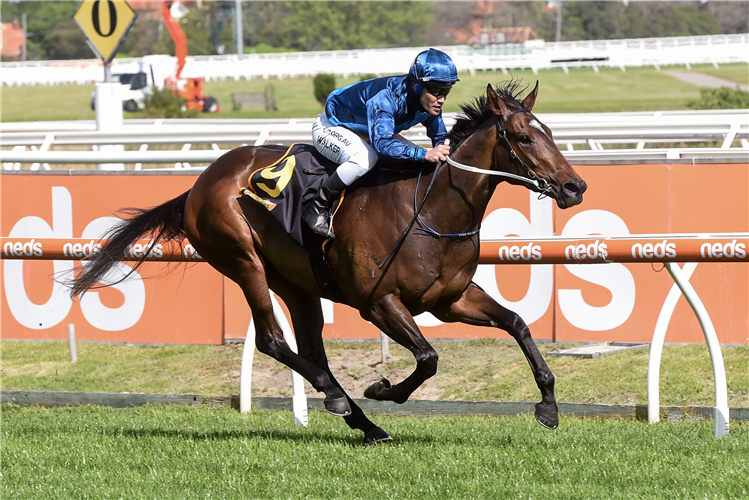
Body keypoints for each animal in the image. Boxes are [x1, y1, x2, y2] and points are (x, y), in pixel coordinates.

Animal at [71, 80, 584, 444]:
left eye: (551, 133)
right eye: (523, 136)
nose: (575, 186)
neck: (430, 208)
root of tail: (199, 183)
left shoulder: (451, 299)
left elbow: (517, 324)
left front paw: (548, 406)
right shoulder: (379, 303)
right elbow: (428, 358)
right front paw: (383, 390)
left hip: (296, 283)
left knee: (310, 347)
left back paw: (365, 424)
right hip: (244, 262)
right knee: (274, 341)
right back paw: (340, 399)